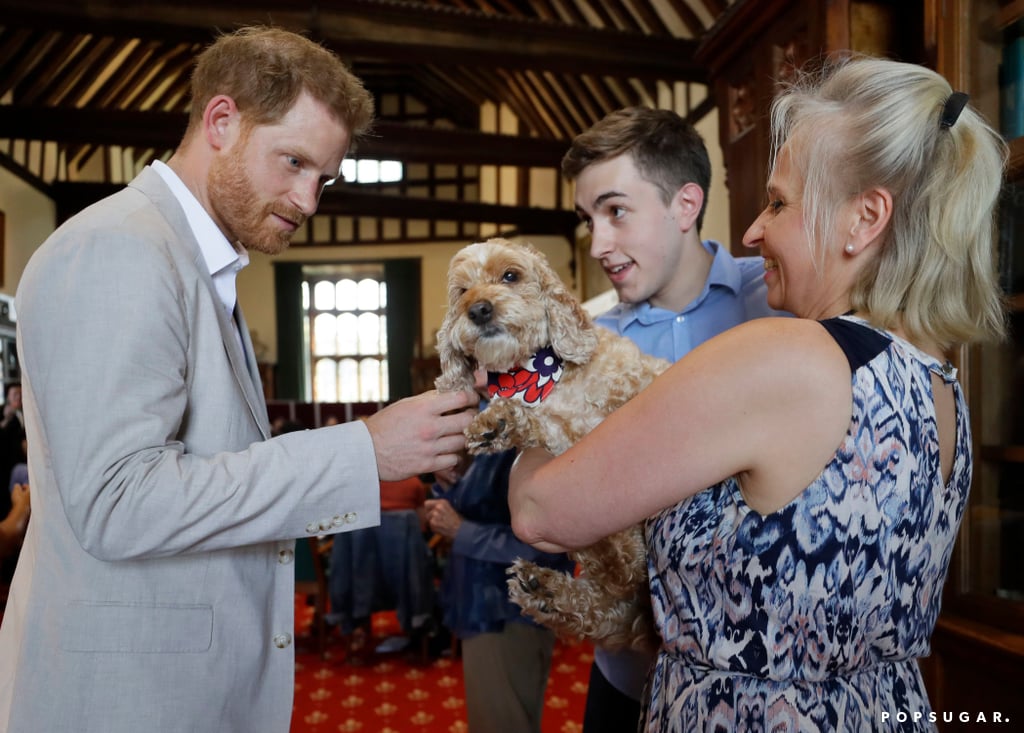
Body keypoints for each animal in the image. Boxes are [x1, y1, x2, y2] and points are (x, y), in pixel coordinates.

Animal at [436, 237, 667, 651]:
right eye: (462, 292)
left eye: (511, 275)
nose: (478, 309)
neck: (539, 375)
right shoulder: (561, 436)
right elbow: (547, 428)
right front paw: (497, 422)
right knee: (608, 594)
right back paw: (543, 589)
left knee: (624, 573)